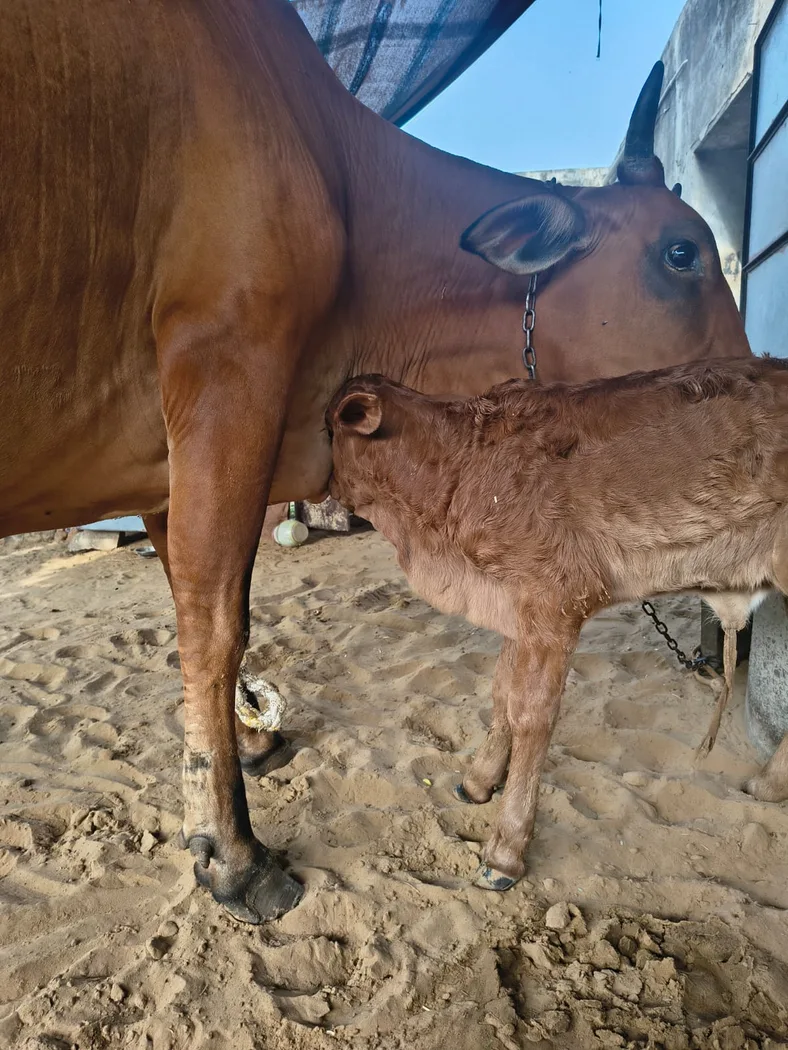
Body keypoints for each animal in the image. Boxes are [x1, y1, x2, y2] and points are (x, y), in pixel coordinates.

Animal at [327, 360, 788, 891]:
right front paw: (478, 781)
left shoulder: (553, 605)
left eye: (330, 427)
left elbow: (531, 714)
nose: (327, 492)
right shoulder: (515, 606)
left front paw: (506, 848)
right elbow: (501, 692)